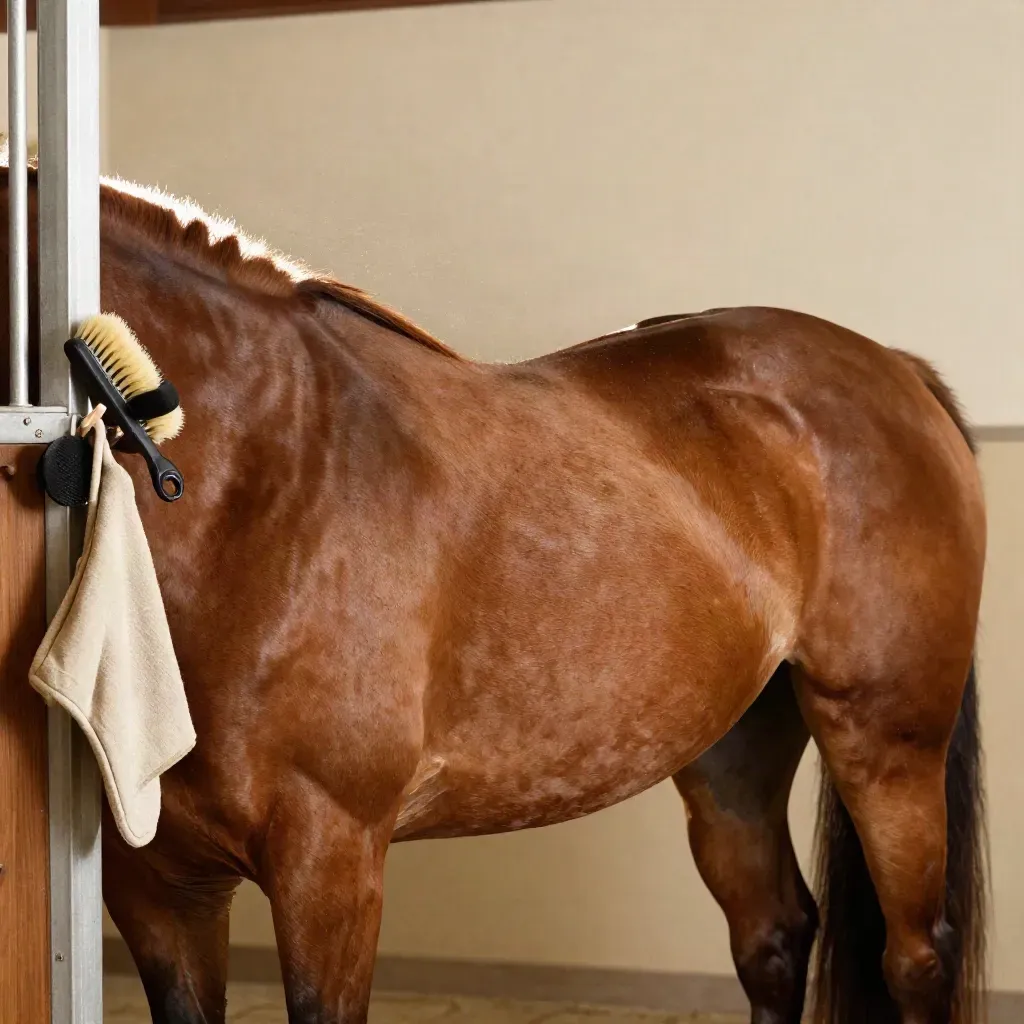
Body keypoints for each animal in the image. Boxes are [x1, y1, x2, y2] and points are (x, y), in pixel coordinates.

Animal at [0, 166, 985, 1024]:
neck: (261, 485)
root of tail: (894, 369)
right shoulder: (158, 887)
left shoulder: (331, 864)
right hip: (731, 753)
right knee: (773, 937)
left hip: (888, 745)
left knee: (913, 959)